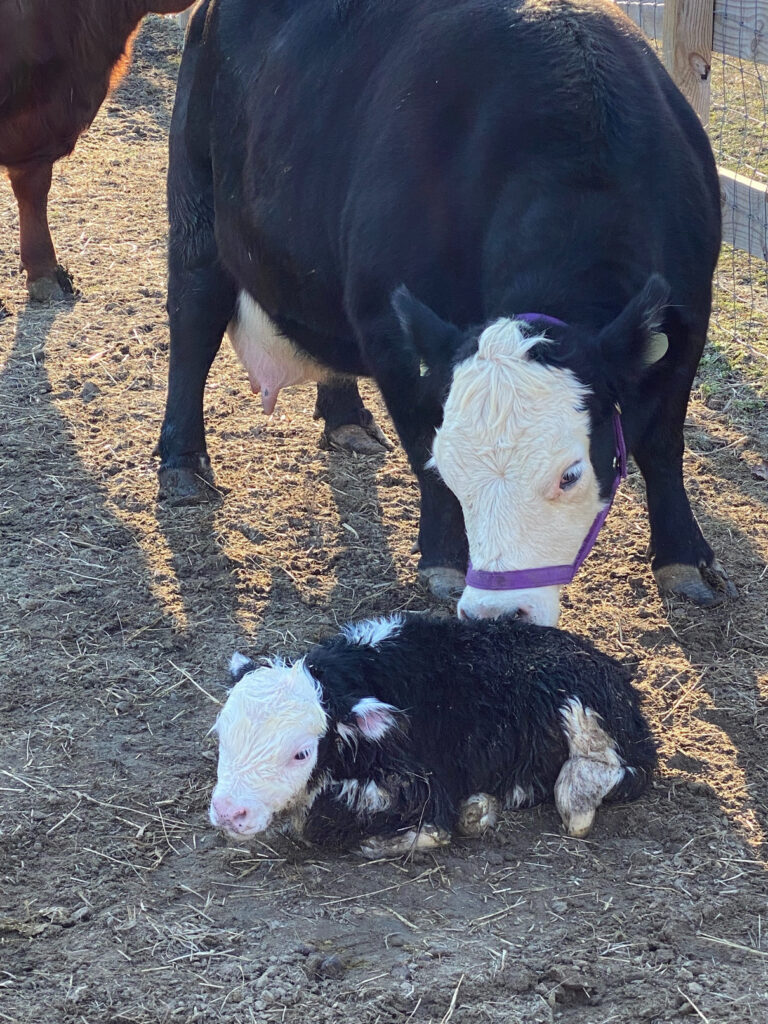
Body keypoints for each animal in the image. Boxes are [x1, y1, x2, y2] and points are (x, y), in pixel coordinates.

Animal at [157, 0, 733, 614]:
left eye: (570, 474)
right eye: (454, 467)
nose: (498, 611)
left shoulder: (687, 320)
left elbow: (663, 444)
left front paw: (685, 560)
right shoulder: (388, 328)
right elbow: (420, 441)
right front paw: (444, 560)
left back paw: (347, 418)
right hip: (195, 205)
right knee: (192, 326)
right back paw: (183, 465)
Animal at [208, 610, 655, 851]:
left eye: (301, 752)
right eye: (222, 737)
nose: (229, 812)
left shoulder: (424, 783)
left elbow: (315, 824)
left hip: (584, 710)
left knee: (614, 774)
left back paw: (574, 795)